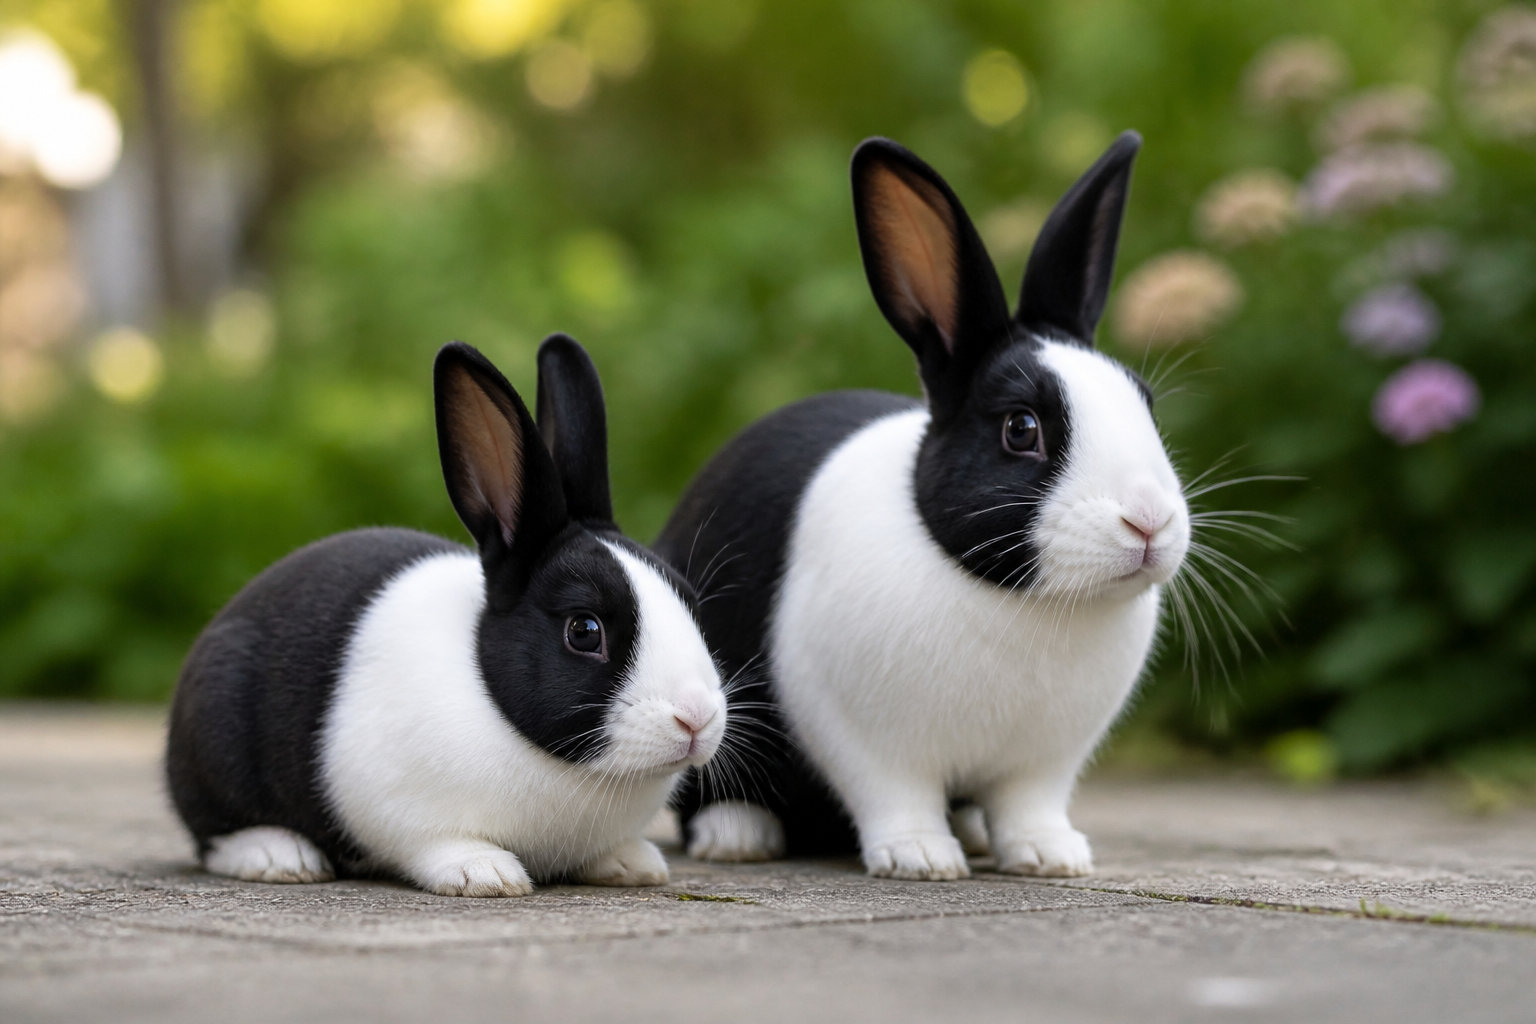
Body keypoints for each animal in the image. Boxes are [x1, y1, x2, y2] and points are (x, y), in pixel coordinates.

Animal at [166, 335, 727, 897]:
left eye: (690, 602)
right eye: (584, 631)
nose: (697, 717)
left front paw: (634, 863)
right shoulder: (402, 811)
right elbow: (436, 844)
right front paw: (486, 874)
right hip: (217, 750)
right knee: (213, 835)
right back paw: (279, 856)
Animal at [655, 131, 1189, 881]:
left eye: (1144, 402)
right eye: (1021, 429)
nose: (1148, 521)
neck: (1019, 599)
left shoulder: (1043, 764)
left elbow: (1029, 805)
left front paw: (1051, 857)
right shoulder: (862, 737)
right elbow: (895, 795)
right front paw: (921, 859)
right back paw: (739, 836)